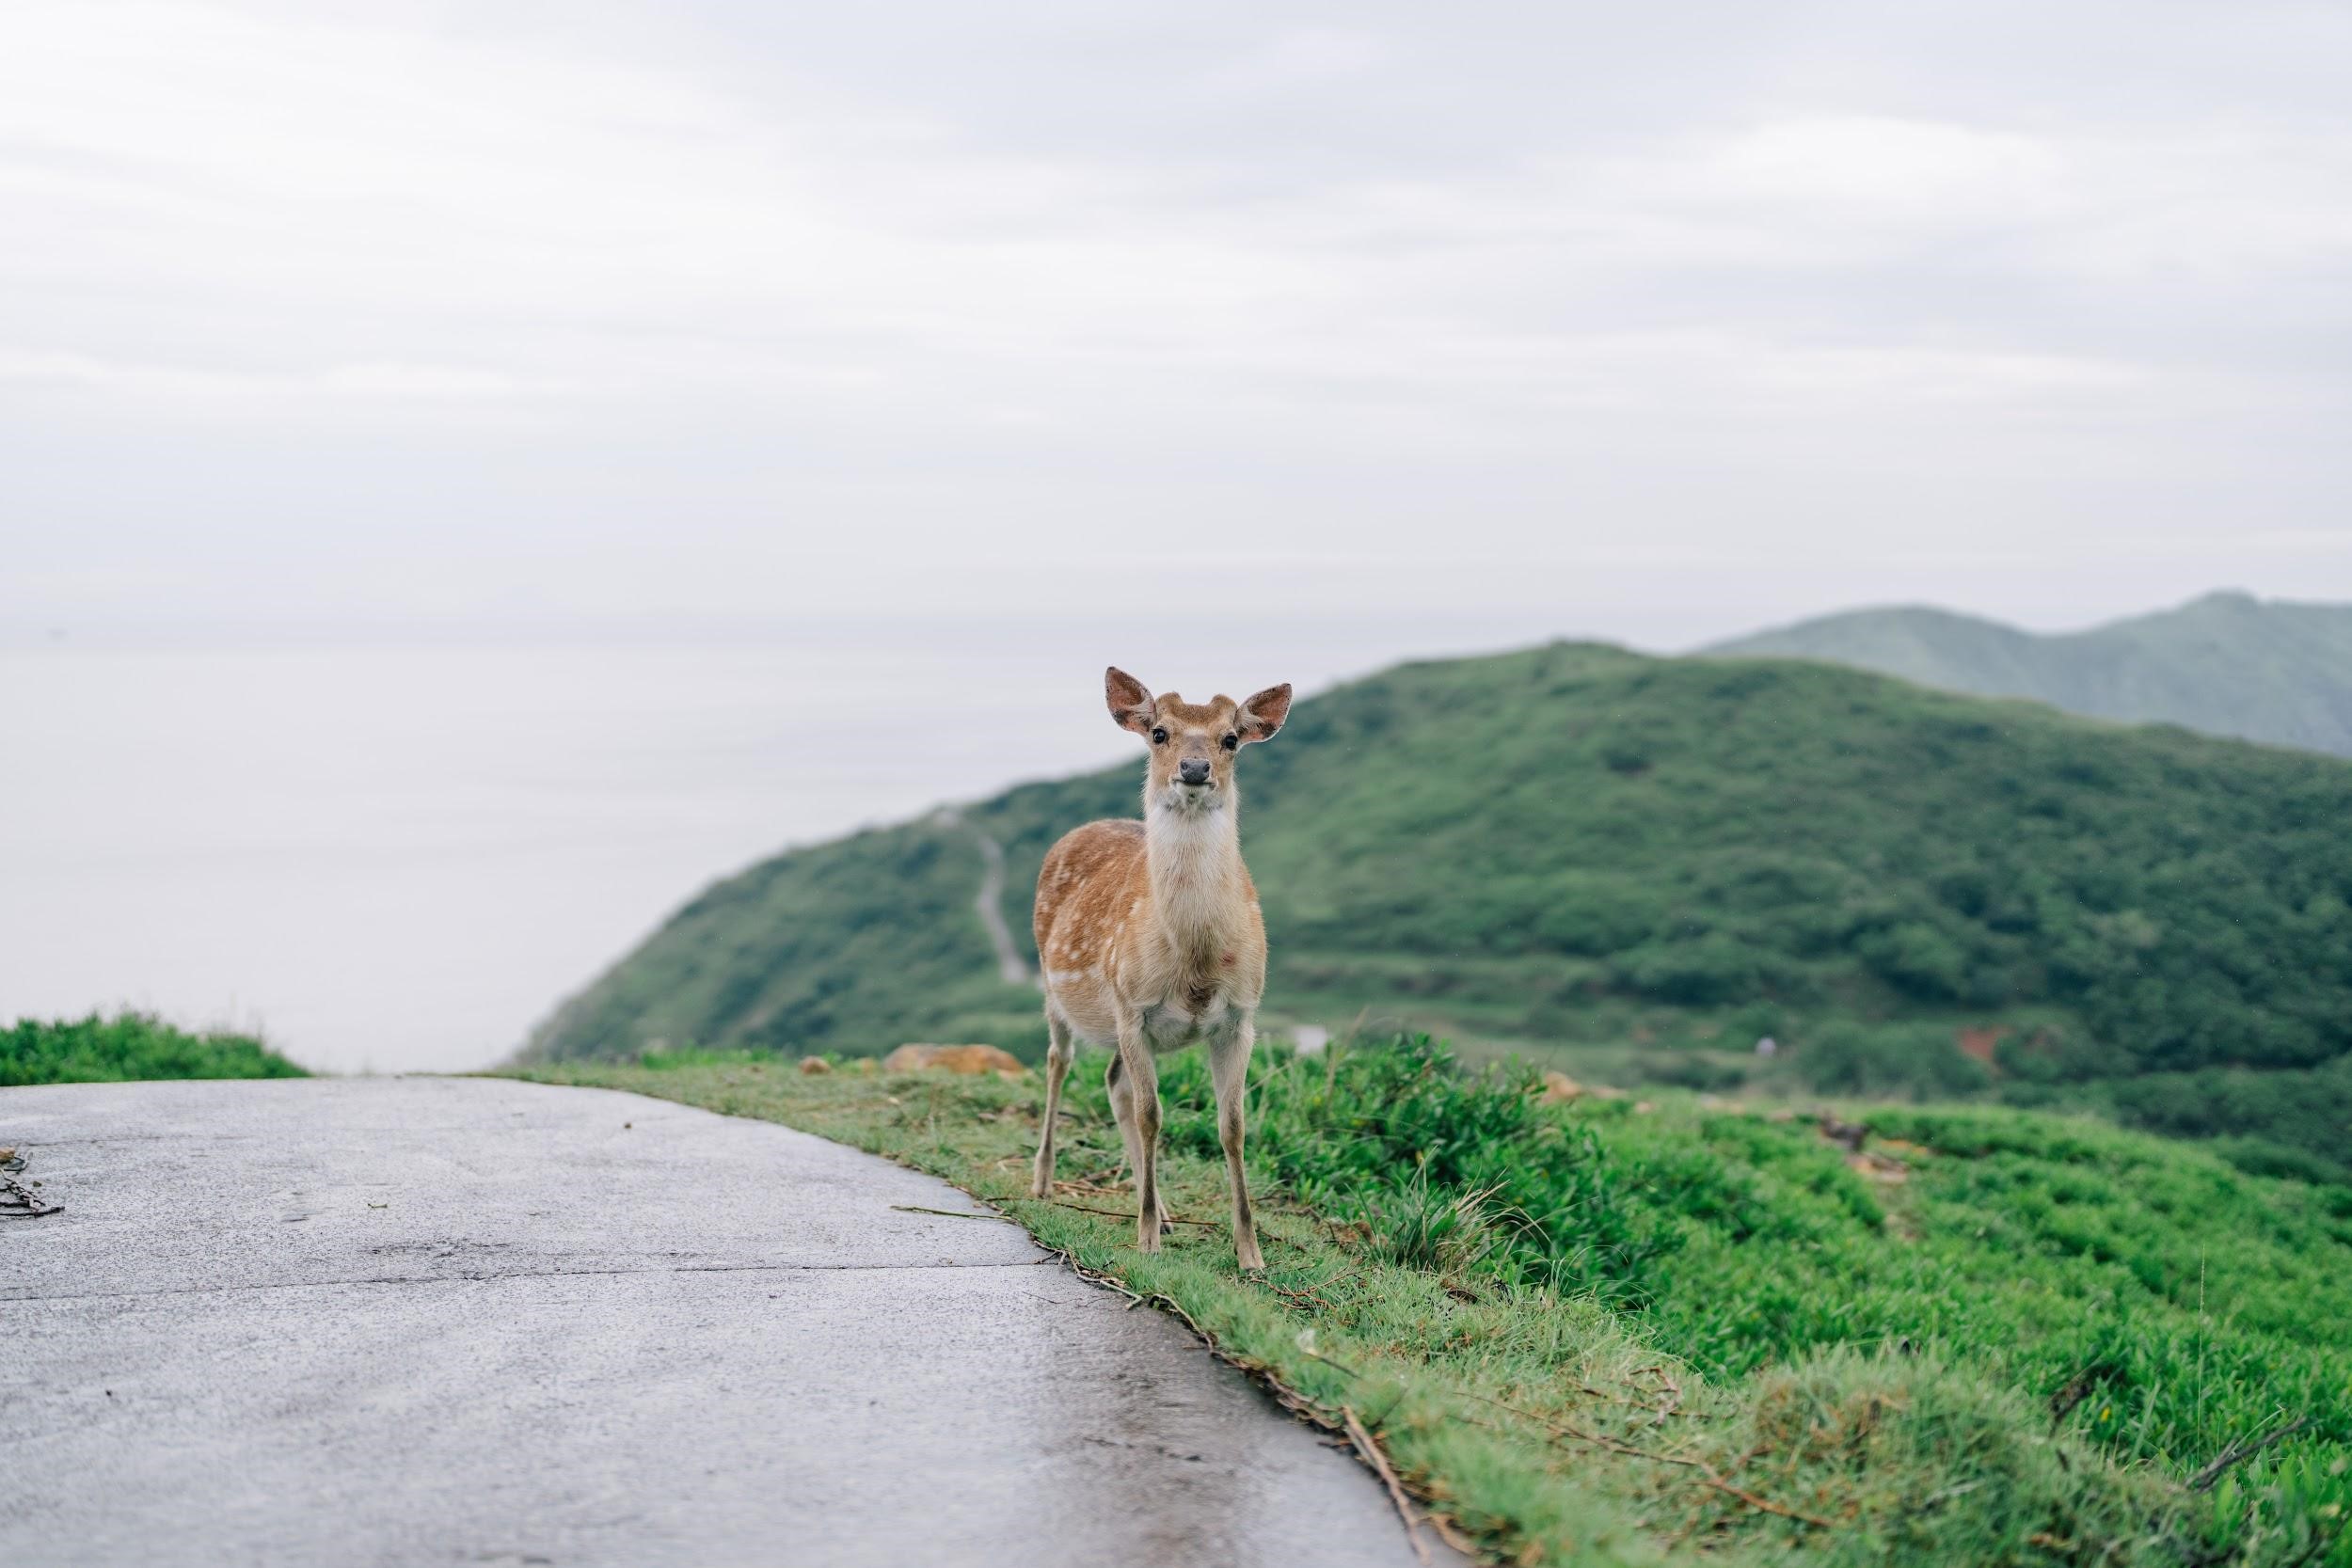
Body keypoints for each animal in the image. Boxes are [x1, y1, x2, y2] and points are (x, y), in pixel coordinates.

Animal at [1030, 667, 1298, 1269]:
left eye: (1231, 739)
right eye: (1158, 732)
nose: (1194, 768)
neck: (1195, 964)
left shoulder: (1241, 1016)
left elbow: (1234, 1126)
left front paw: (1250, 1253)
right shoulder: (1132, 1007)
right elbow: (1154, 1115)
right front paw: (1146, 1240)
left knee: (1113, 1081)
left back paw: (1165, 1211)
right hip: (1055, 990)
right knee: (1059, 1062)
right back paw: (1044, 1182)